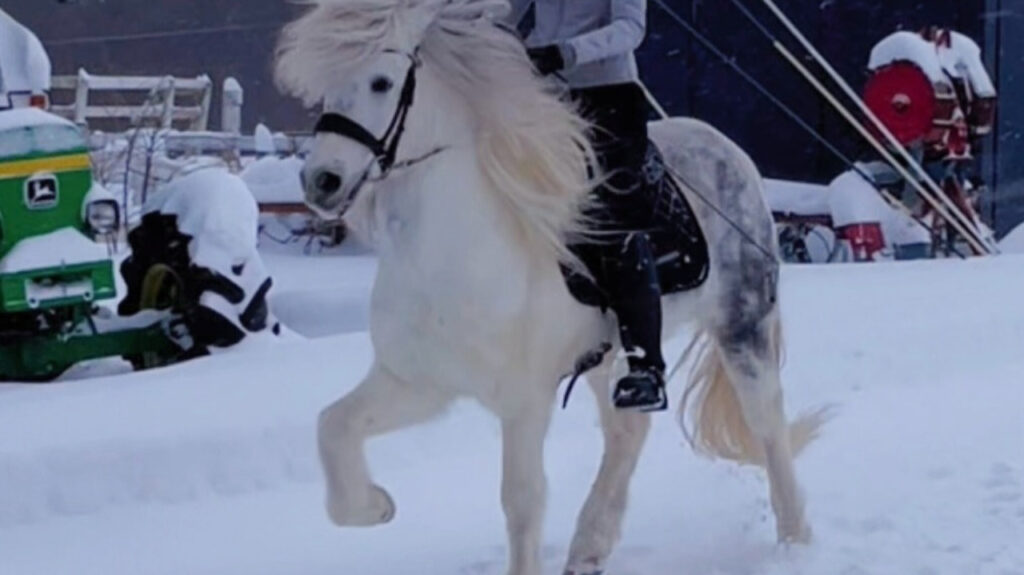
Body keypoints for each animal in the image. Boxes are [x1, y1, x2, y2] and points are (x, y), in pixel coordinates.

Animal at [274, 1, 827, 573]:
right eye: (323, 87)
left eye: (381, 81)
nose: (321, 182)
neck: (451, 254)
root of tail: (725, 148)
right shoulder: (417, 383)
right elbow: (333, 427)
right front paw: (377, 505)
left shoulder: (524, 402)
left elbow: (522, 501)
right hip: (611, 356)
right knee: (628, 431)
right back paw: (588, 548)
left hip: (742, 325)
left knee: (766, 421)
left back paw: (794, 536)